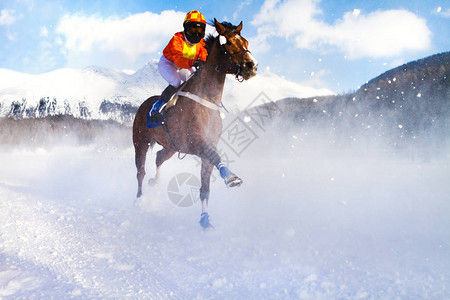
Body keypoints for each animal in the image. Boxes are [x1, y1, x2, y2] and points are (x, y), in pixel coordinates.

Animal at [132, 19, 258, 227]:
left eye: (246, 42)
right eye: (229, 43)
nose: (252, 65)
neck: (206, 99)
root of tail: (143, 105)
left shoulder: (205, 145)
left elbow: (205, 187)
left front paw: (205, 219)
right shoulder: (197, 143)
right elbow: (216, 157)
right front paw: (231, 177)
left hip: (171, 146)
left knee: (159, 157)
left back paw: (155, 181)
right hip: (140, 142)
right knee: (140, 172)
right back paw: (139, 199)